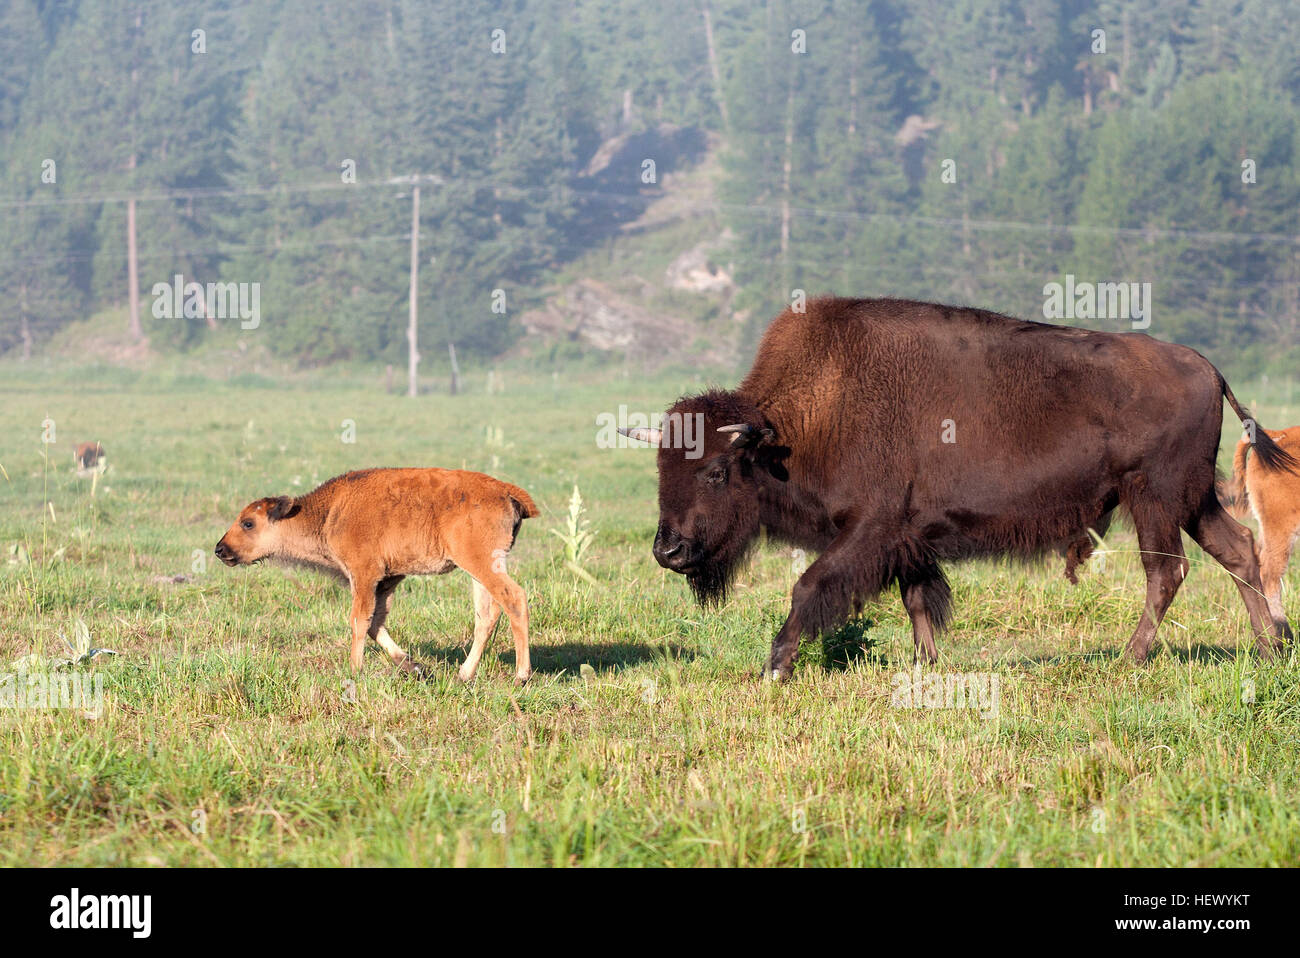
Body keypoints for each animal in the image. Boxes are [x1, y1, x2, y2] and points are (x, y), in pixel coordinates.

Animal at [217, 467, 538, 681]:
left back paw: (521, 676)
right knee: (486, 616)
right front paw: (414, 666)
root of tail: (505, 490)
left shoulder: (364, 575)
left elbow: (359, 620)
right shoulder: (387, 580)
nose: (220, 549)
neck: (329, 512)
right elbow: (375, 623)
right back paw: (464, 674)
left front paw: (354, 670)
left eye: (248, 523)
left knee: (514, 599)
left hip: (482, 563)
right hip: (478, 570)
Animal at [624, 295, 1294, 675]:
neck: (792, 428)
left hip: (1154, 496)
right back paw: (1268, 650)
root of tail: (1207, 367)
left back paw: (1129, 661)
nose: (668, 550)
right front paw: (928, 665)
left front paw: (776, 666)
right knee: (1239, 550)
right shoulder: (907, 539)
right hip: (1190, 500)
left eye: (715, 471)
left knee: (1167, 571)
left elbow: (810, 585)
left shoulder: (869, 529)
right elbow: (918, 599)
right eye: (661, 470)